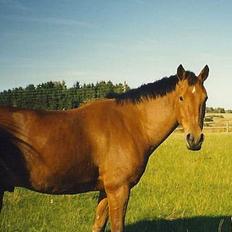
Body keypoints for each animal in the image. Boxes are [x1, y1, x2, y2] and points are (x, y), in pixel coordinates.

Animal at [0, 64, 208, 231]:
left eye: (204, 98)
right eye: (181, 98)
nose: (194, 139)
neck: (130, 124)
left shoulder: (105, 191)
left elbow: (98, 224)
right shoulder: (119, 190)